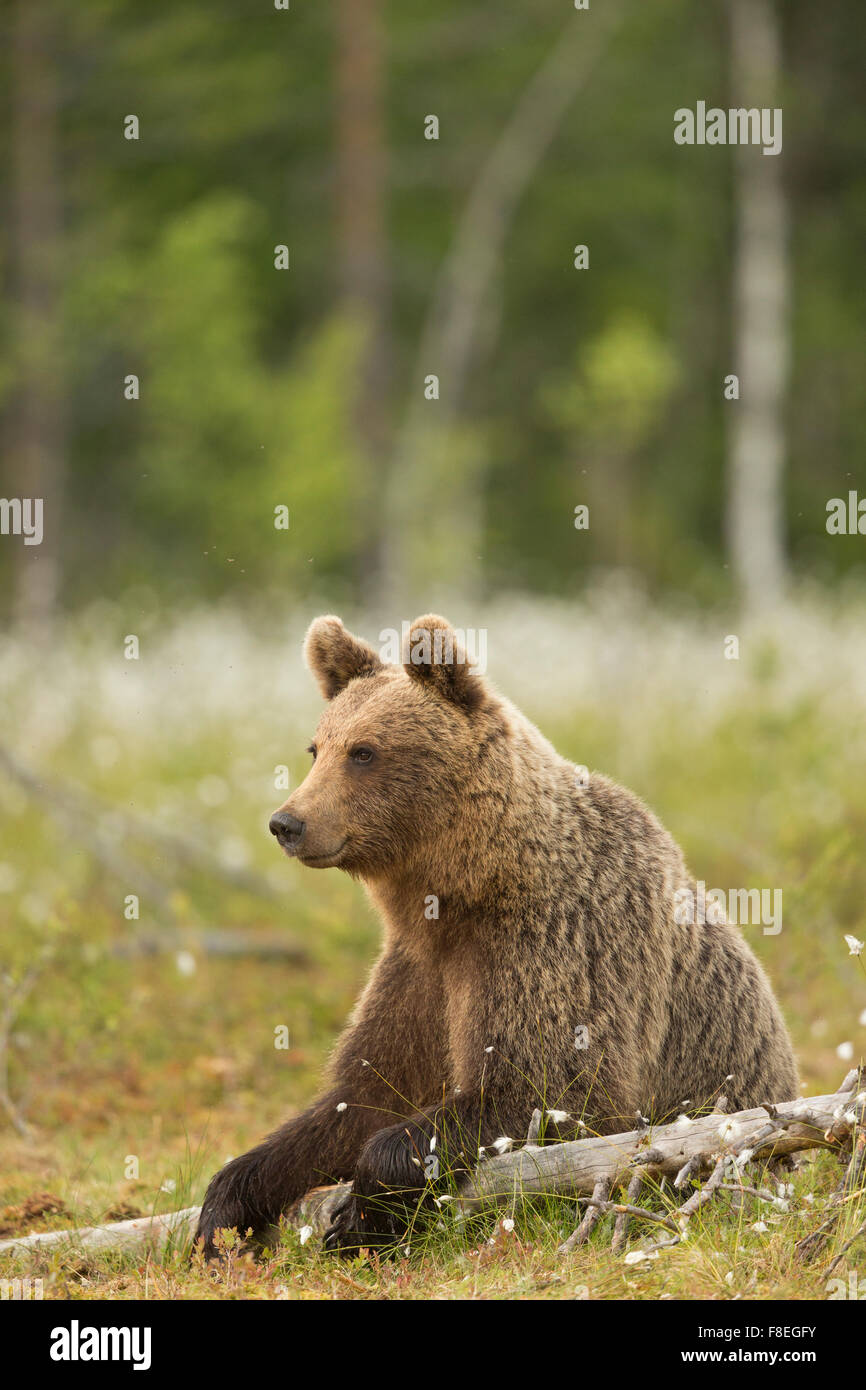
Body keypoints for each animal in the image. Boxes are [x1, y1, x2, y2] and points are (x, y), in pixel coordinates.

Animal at [195, 613, 798, 1257]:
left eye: (364, 751)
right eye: (316, 747)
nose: (287, 822)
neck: (470, 890)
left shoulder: (557, 945)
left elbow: (547, 1089)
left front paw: (359, 1217)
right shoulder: (419, 972)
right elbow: (360, 1099)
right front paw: (226, 1211)